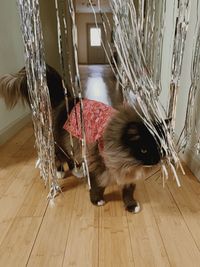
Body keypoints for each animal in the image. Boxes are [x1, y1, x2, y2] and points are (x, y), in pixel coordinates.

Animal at [0, 67, 164, 214]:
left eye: (160, 149)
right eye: (144, 149)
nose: (156, 161)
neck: (127, 161)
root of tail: (65, 101)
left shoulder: (127, 176)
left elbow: (128, 192)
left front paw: (131, 206)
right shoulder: (97, 165)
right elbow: (97, 187)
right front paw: (97, 201)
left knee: (71, 159)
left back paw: (77, 171)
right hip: (62, 145)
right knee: (59, 158)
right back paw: (60, 172)